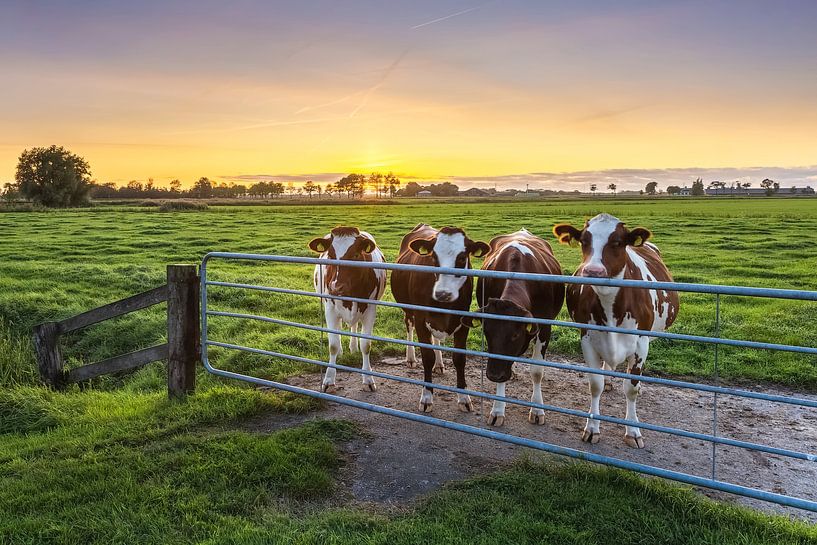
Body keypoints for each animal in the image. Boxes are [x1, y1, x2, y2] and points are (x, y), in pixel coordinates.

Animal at [310, 224, 386, 392]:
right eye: (330, 255)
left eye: (356, 255)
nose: (335, 287)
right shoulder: (330, 309)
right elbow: (332, 345)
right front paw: (328, 379)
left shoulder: (370, 309)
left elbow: (366, 345)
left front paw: (368, 379)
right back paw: (342, 350)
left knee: (354, 326)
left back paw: (353, 347)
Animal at [390, 223, 488, 410]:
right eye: (433, 257)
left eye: (462, 258)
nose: (443, 293)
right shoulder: (421, 320)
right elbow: (427, 357)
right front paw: (427, 396)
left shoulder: (463, 322)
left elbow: (460, 359)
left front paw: (463, 397)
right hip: (408, 310)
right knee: (408, 326)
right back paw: (411, 358)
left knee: (436, 339)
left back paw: (439, 364)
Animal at [460, 227, 568, 428]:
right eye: (486, 332)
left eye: (515, 335)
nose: (493, 374)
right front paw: (497, 410)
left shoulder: (545, 327)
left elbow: (537, 371)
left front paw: (537, 409)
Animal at [552, 212, 680, 446]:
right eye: (584, 241)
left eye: (618, 242)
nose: (593, 271)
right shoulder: (588, 339)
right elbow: (596, 384)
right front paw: (592, 428)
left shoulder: (641, 344)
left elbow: (631, 388)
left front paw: (633, 431)